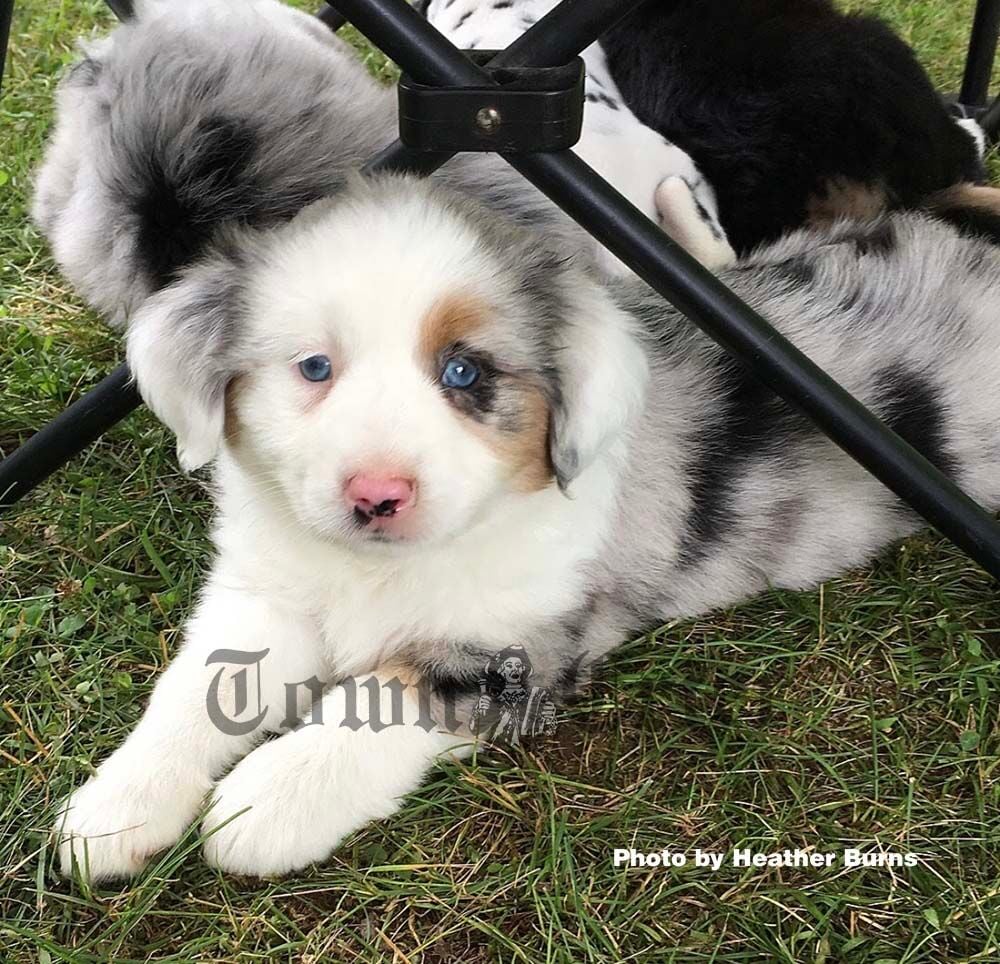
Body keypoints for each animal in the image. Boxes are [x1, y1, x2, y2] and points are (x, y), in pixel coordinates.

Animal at [56, 173, 1000, 880]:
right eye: (314, 367)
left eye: (465, 373)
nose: (375, 496)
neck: (378, 567)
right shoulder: (264, 594)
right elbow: (196, 691)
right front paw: (116, 807)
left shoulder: (516, 649)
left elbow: (380, 696)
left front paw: (268, 802)